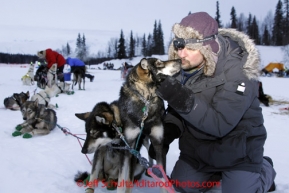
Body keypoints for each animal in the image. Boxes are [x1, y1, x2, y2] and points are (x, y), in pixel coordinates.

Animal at [116, 57, 180, 193]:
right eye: (159, 63)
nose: (180, 60)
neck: (146, 101)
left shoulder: (158, 143)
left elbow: (163, 179)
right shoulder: (131, 147)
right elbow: (125, 180)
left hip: (146, 141)